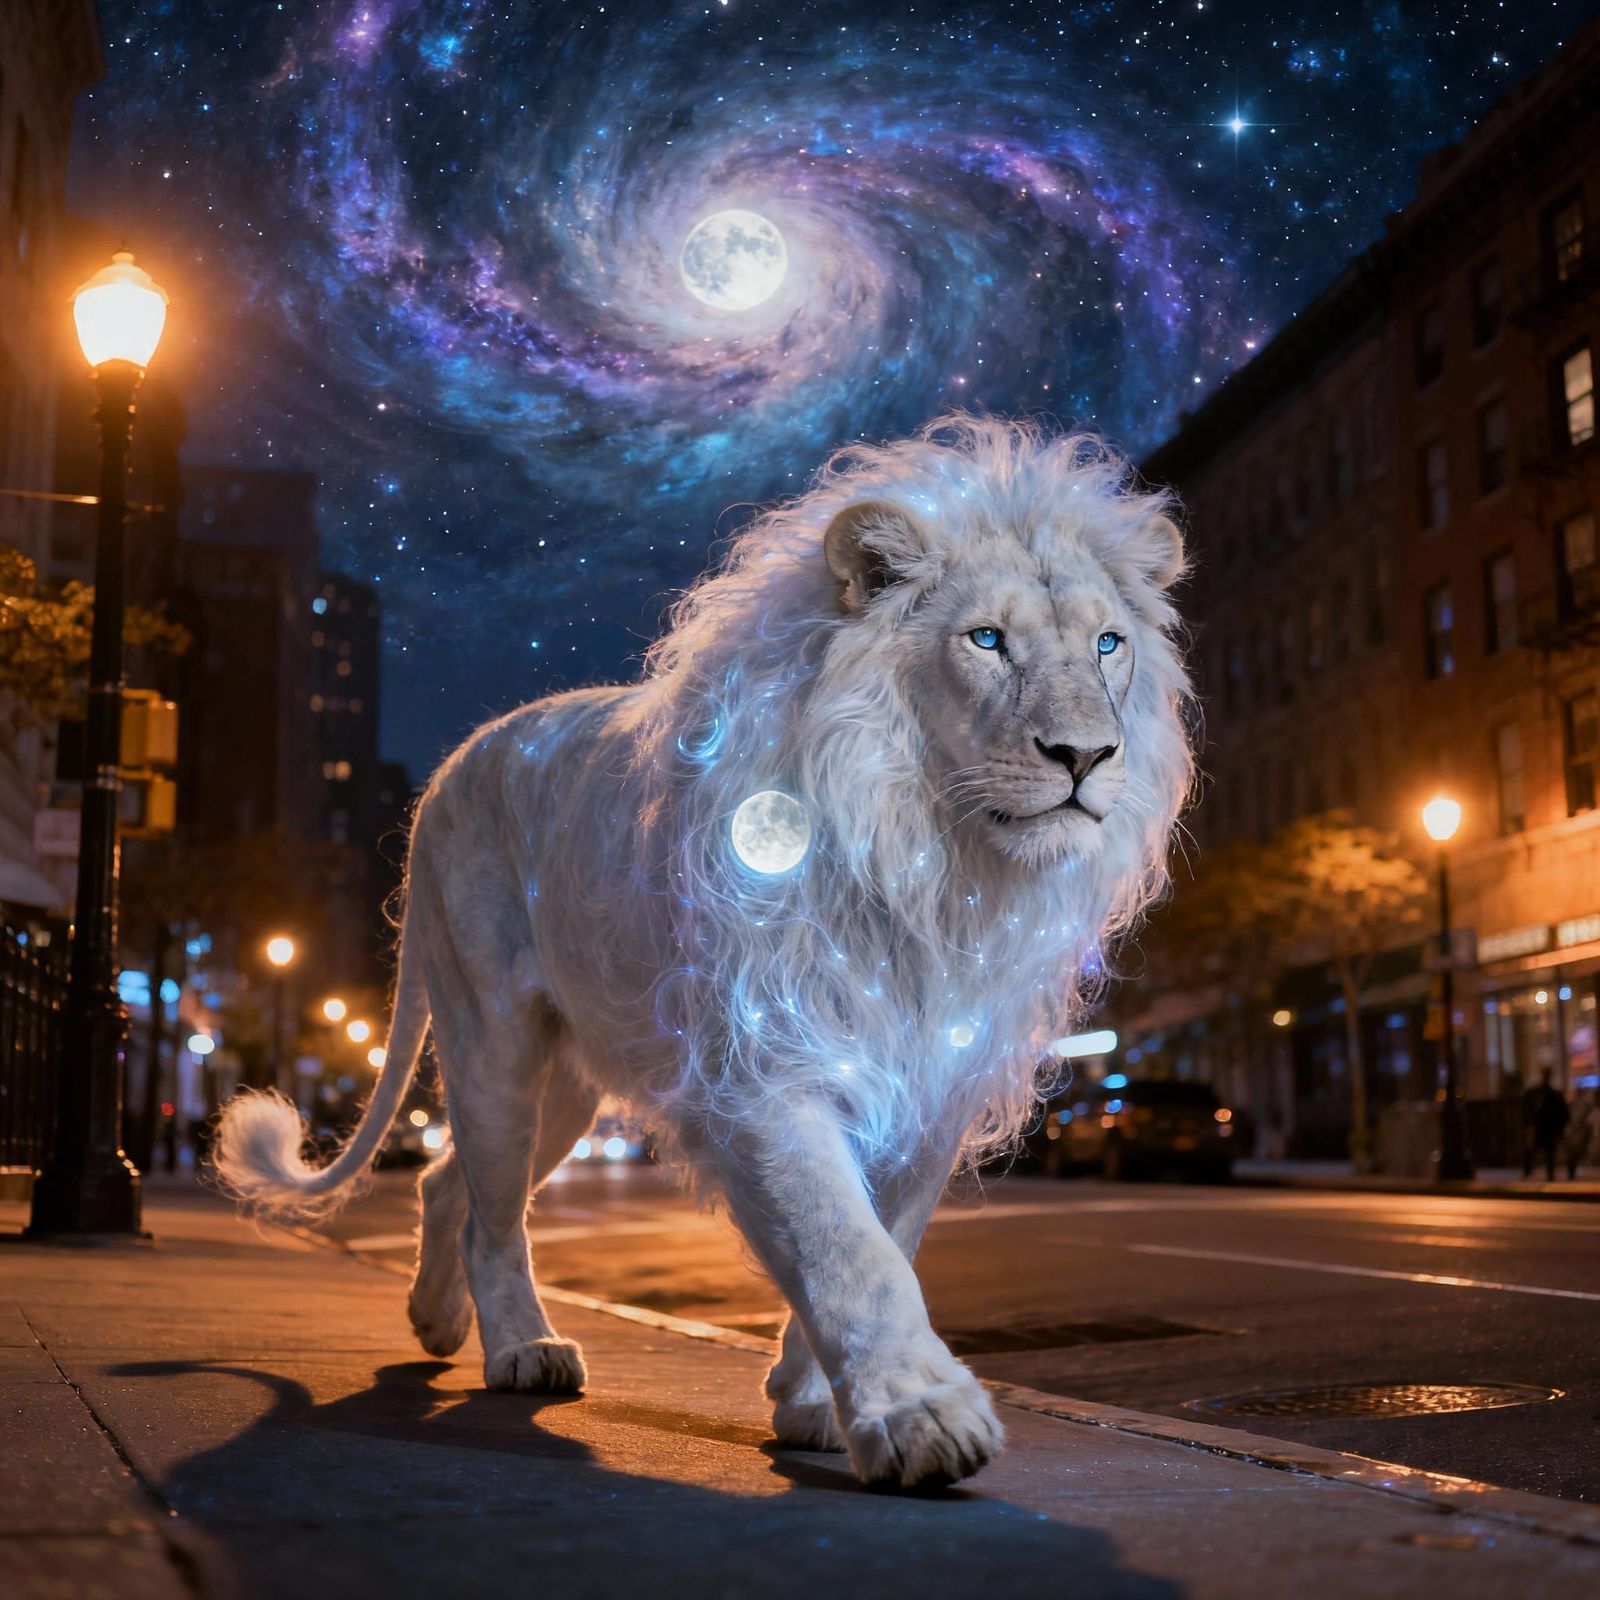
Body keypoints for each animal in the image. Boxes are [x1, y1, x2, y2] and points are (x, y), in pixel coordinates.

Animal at [214, 413, 1193, 1489]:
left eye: (1106, 644)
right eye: (985, 639)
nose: (1085, 757)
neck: (932, 859)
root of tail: (453, 763)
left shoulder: (931, 1079)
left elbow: (882, 1236)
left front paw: (811, 1404)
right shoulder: (762, 1065)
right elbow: (849, 1252)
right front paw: (921, 1417)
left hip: (568, 1081)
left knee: (451, 1187)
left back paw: (435, 1323)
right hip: (492, 1038)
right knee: (492, 1210)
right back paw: (520, 1348)